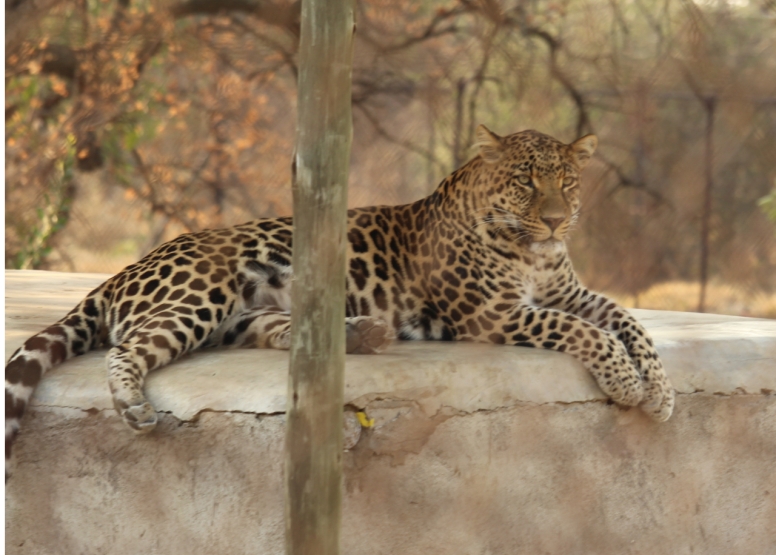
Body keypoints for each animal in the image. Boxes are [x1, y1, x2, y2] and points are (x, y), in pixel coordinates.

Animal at [4, 127, 672, 478]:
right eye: (527, 181)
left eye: (567, 183)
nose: (558, 220)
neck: (534, 252)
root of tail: (120, 272)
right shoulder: (494, 313)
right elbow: (584, 332)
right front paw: (625, 383)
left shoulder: (570, 292)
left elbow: (629, 321)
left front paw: (660, 393)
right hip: (202, 293)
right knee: (128, 347)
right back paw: (132, 407)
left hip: (245, 314)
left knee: (271, 333)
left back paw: (362, 334)